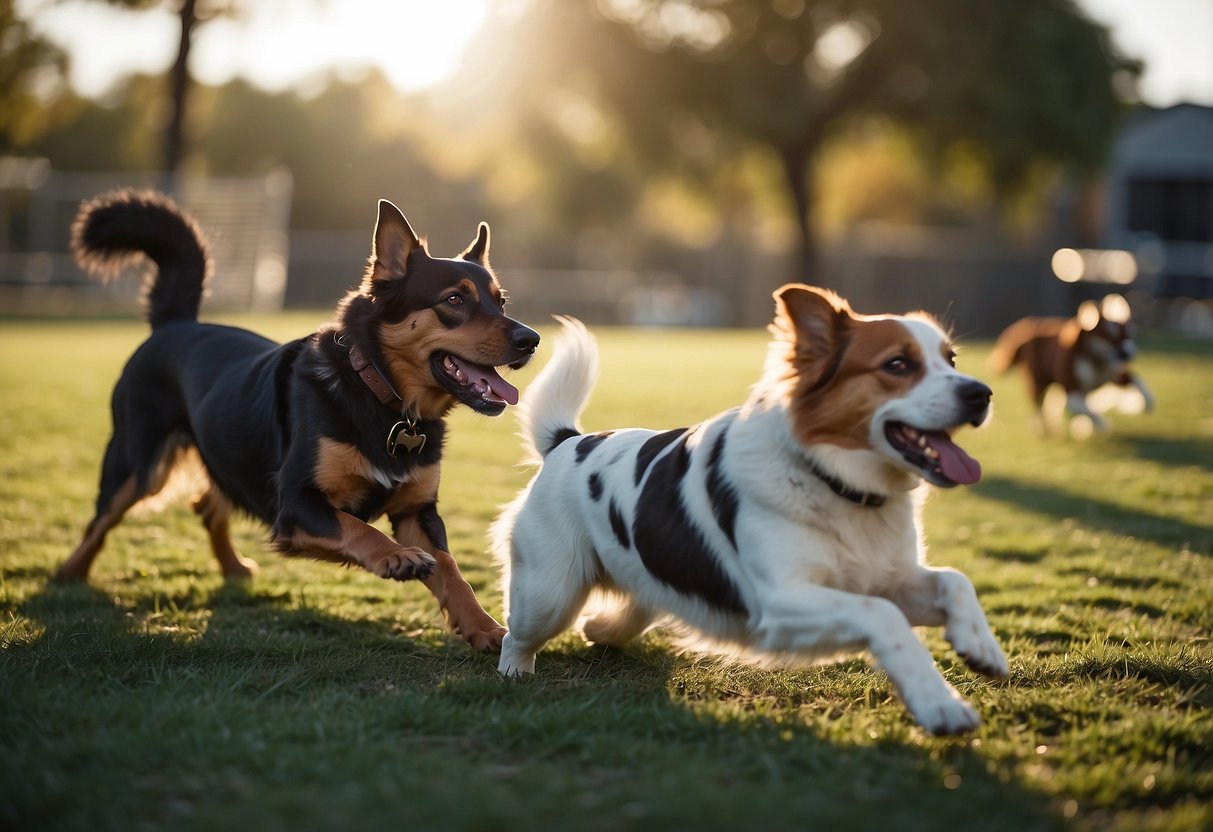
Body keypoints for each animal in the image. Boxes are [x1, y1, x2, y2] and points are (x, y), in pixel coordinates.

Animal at [55, 189, 540, 650]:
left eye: (501, 302)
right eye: (454, 300)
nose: (531, 339)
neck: (379, 395)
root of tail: (175, 323)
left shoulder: (418, 512)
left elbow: (451, 570)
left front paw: (485, 628)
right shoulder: (296, 504)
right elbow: (358, 528)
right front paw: (396, 557)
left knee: (206, 506)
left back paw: (232, 567)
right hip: (138, 463)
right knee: (100, 521)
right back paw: (67, 575)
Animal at [487, 286, 1009, 737]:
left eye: (951, 359)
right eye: (898, 364)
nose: (981, 393)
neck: (834, 482)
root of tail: (568, 440)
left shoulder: (886, 577)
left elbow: (954, 581)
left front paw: (981, 646)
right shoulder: (778, 602)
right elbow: (885, 618)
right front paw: (939, 704)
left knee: (628, 609)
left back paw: (601, 629)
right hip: (548, 594)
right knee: (518, 635)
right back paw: (515, 673)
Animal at [989, 293, 1149, 436]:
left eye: (1129, 335)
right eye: (1109, 337)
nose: (1128, 353)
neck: (1095, 359)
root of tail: (1028, 328)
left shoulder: (1112, 374)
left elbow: (1134, 378)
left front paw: (1147, 402)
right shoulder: (1072, 394)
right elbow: (1089, 411)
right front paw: (1101, 423)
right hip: (1037, 381)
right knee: (1038, 405)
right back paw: (1041, 428)